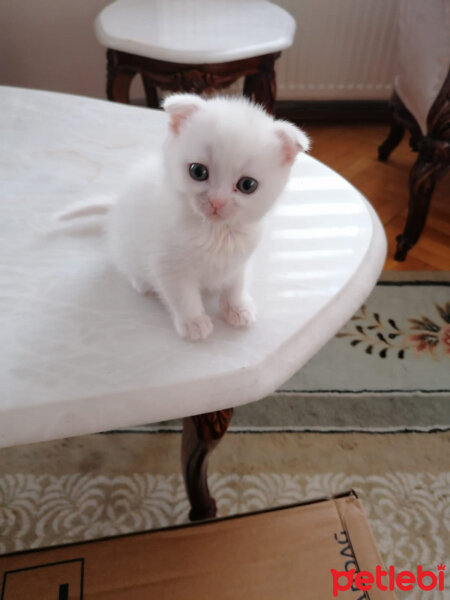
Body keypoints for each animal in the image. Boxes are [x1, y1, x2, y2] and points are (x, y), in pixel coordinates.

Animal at [57, 96, 310, 344]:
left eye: (247, 185)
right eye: (198, 172)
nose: (217, 202)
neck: (215, 233)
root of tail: (115, 207)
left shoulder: (239, 261)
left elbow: (235, 284)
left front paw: (237, 308)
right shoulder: (168, 266)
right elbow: (183, 297)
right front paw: (194, 322)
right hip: (125, 247)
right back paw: (142, 283)